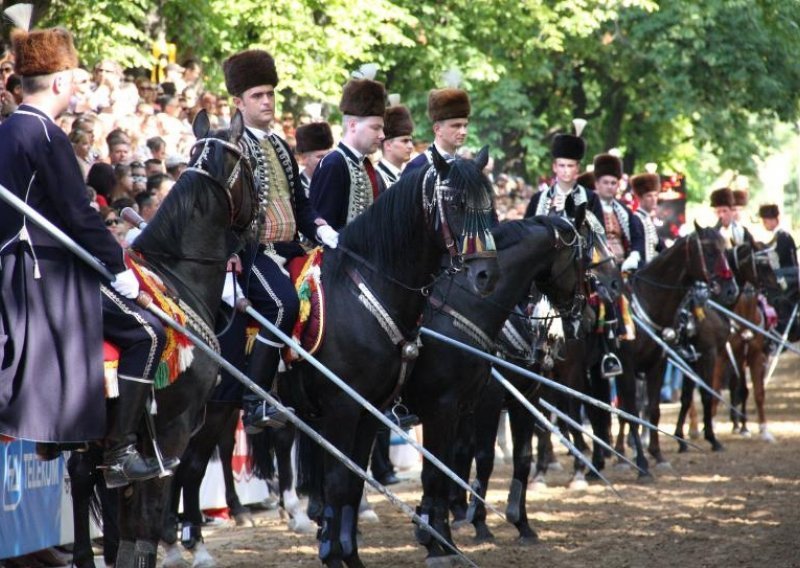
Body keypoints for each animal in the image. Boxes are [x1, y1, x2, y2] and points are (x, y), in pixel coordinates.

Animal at [406, 206, 588, 560]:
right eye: (583, 255)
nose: (578, 315)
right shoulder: (478, 403)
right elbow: (480, 458)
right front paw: (475, 524)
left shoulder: (522, 399)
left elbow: (520, 458)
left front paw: (521, 523)